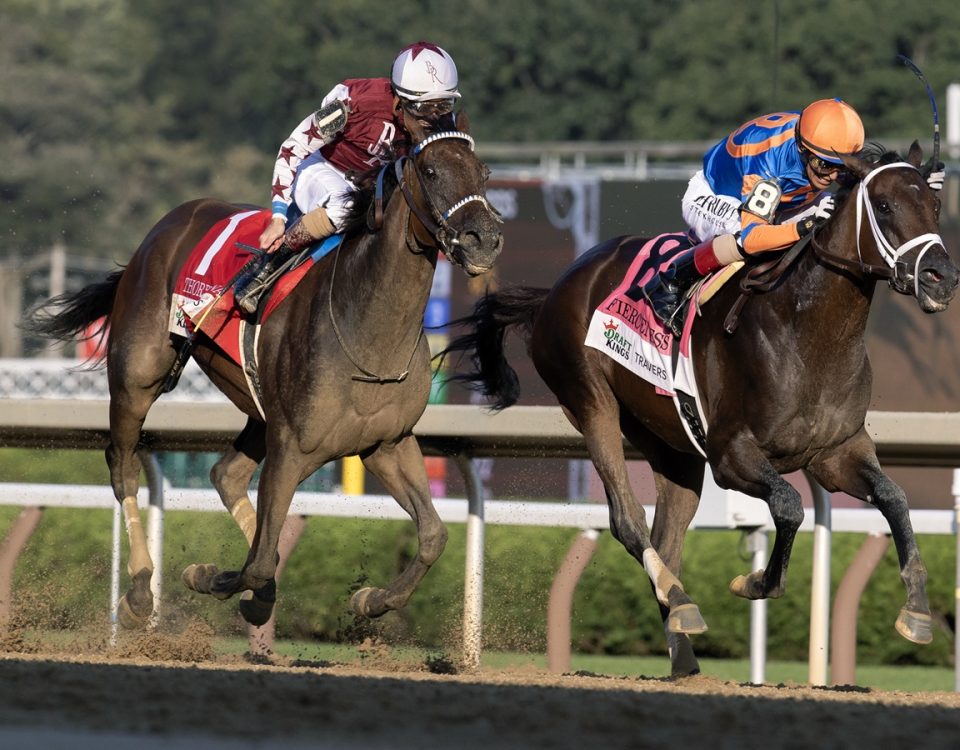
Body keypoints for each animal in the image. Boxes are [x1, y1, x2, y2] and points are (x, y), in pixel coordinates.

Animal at [25, 113, 502, 628]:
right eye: (431, 172)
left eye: (485, 172)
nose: (484, 239)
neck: (368, 328)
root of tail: (170, 221)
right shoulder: (291, 447)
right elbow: (254, 563)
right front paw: (206, 576)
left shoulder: (386, 443)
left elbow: (433, 535)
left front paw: (371, 598)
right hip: (137, 376)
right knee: (124, 467)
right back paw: (138, 591)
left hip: (257, 405)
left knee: (226, 475)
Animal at [440, 144, 952, 680]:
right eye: (886, 206)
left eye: (935, 205)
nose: (942, 277)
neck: (809, 332)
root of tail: (558, 288)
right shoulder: (731, 454)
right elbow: (789, 505)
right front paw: (755, 582)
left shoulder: (836, 453)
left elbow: (894, 498)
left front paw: (917, 611)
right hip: (591, 401)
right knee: (627, 520)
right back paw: (682, 604)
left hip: (672, 445)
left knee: (666, 538)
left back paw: (682, 646)